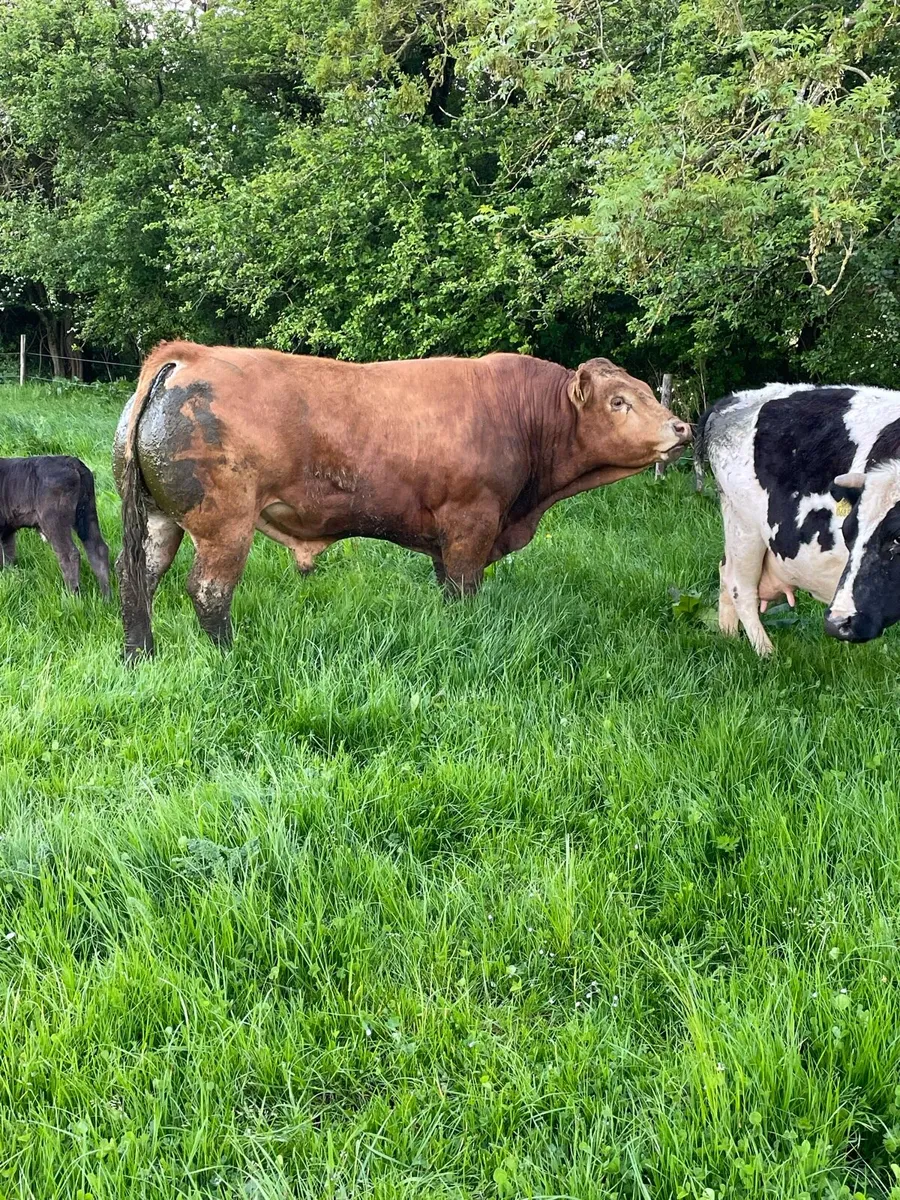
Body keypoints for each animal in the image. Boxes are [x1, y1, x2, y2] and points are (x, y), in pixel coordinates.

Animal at [0, 456, 111, 597]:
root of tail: (72, 462)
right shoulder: (7, 532)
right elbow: (8, 556)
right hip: (87, 513)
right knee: (98, 549)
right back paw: (106, 597)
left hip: (53, 521)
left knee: (69, 554)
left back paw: (71, 597)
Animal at [114, 340, 691, 659]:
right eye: (618, 402)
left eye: (648, 391)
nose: (682, 427)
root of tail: (189, 355)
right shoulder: (471, 523)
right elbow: (464, 589)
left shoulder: (449, 535)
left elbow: (447, 586)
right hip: (224, 524)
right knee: (208, 590)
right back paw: (229, 656)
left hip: (158, 519)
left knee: (137, 577)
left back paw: (140, 656)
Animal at [694, 383, 900, 655]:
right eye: (847, 533)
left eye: (898, 538)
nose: (838, 624)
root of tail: (733, 399)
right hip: (744, 525)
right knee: (739, 586)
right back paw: (765, 652)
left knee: (725, 574)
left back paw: (730, 639)